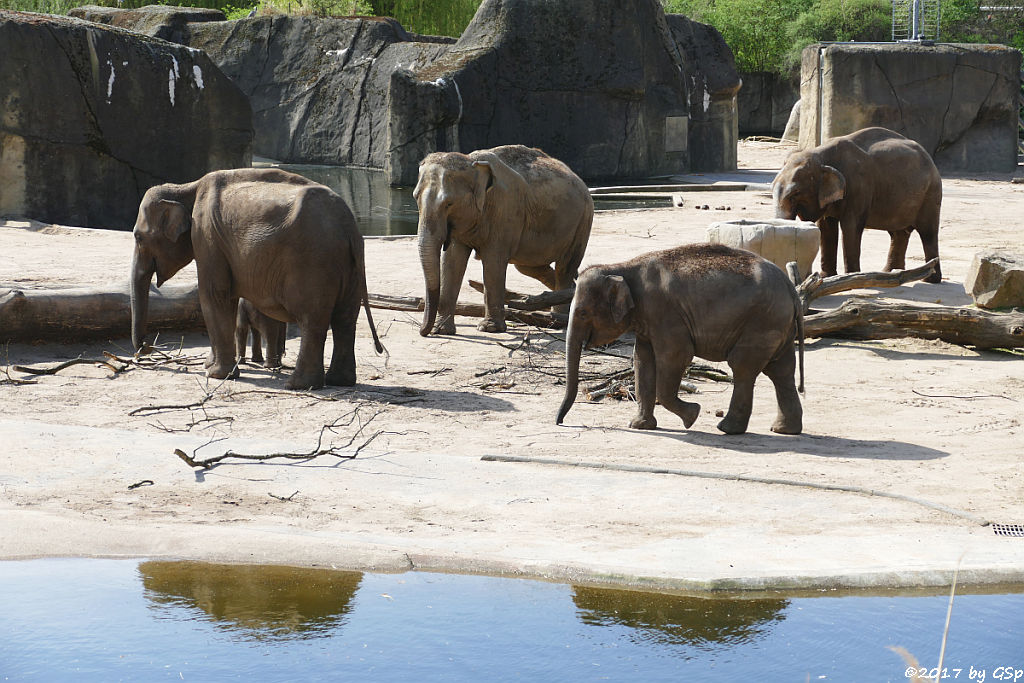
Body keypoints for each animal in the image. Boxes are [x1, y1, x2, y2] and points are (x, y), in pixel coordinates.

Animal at [129, 165, 385, 389]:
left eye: (138, 237)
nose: (146, 347)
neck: (186, 188)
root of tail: (349, 225)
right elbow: (226, 299)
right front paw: (210, 366)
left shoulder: (207, 236)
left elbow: (214, 295)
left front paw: (216, 374)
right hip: (351, 267)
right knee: (345, 319)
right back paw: (339, 381)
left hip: (313, 263)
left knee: (312, 320)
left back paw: (298, 385)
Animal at [413, 145, 593, 335]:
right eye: (415, 198)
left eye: (448, 204)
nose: (423, 331)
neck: (471, 162)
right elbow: (452, 261)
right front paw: (441, 330)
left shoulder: (506, 211)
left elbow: (493, 261)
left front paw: (489, 328)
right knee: (531, 267)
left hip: (583, 221)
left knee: (565, 267)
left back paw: (560, 318)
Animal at [557, 242, 802, 436]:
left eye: (583, 313)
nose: (560, 422)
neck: (622, 267)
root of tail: (791, 287)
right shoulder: (647, 321)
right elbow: (642, 361)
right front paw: (639, 426)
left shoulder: (665, 313)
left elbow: (676, 356)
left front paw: (692, 416)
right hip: (778, 326)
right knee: (781, 371)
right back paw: (783, 430)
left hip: (761, 322)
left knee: (743, 367)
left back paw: (727, 429)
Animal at [770, 127, 937, 282]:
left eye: (796, 193)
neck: (820, 155)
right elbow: (826, 227)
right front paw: (826, 276)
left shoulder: (858, 186)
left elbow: (851, 226)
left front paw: (851, 277)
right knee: (898, 233)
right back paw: (891, 272)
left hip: (930, 193)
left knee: (928, 233)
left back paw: (930, 279)